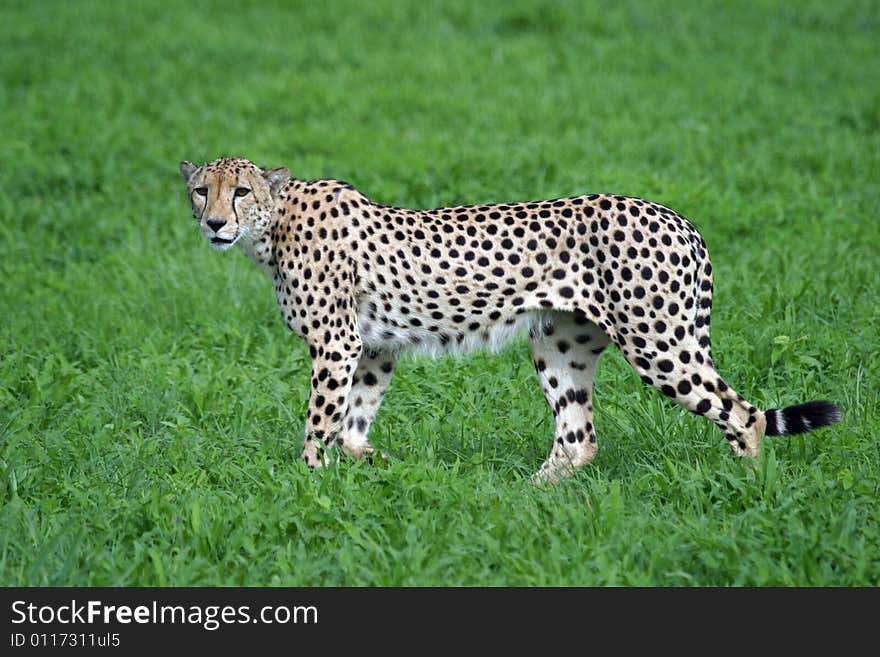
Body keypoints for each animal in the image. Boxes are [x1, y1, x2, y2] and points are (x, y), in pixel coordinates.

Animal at [177, 154, 840, 482]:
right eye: (201, 190)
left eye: (240, 192)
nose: (213, 223)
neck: (273, 225)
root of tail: (678, 216)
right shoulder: (374, 348)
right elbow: (352, 427)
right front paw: (385, 471)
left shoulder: (337, 344)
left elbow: (320, 425)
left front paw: (308, 484)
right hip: (559, 346)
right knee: (579, 437)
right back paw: (526, 501)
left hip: (660, 343)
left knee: (743, 414)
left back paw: (747, 491)